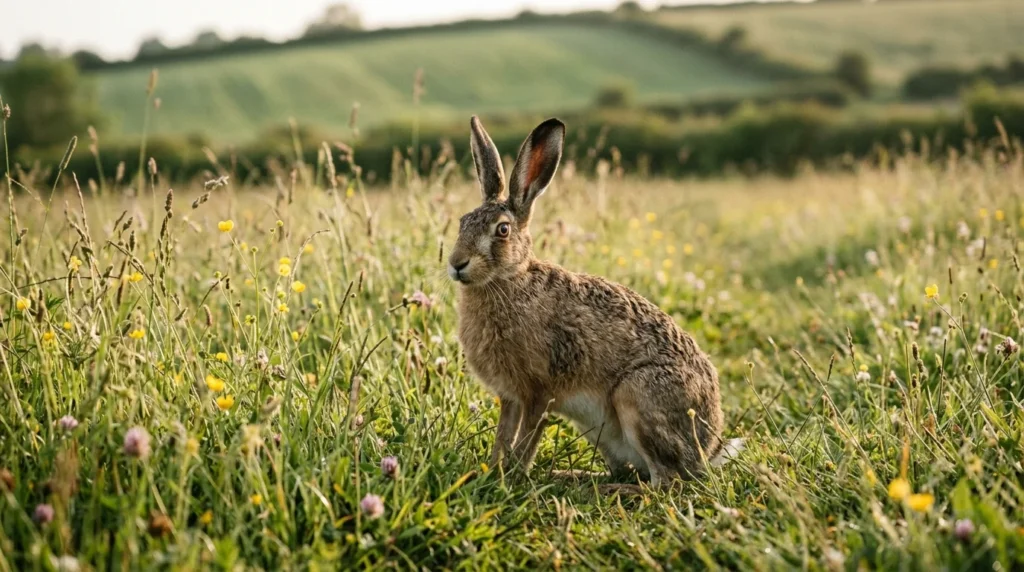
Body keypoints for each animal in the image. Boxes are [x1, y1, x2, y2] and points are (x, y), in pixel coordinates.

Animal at [448, 115, 742, 487]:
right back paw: (575, 477)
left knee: (665, 482)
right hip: (601, 431)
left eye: (502, 230)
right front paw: (492, 472)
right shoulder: (511, 397)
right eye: (462, 223)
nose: (457, 263)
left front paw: (511, 478)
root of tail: (708, 450)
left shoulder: (539, 393)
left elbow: (526, 439)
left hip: (637, 394)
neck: (510, 280)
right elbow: (504, 436)